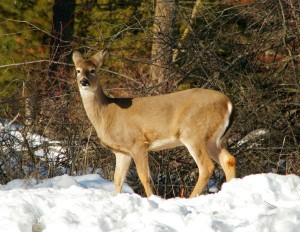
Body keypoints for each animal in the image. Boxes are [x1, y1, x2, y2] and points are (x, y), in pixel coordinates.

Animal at [71, 50, 236, 198]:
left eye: (93, 70)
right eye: (78, 70)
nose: (84, 81)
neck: (106, 115)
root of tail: (228, 103)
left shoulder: (137, 143)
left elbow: (144, 177)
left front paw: (152, 198)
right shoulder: (122, 152)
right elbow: (118, 179)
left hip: (194, 133)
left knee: (207, 167)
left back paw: (191, 198)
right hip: (214, 139)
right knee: (229, 160)